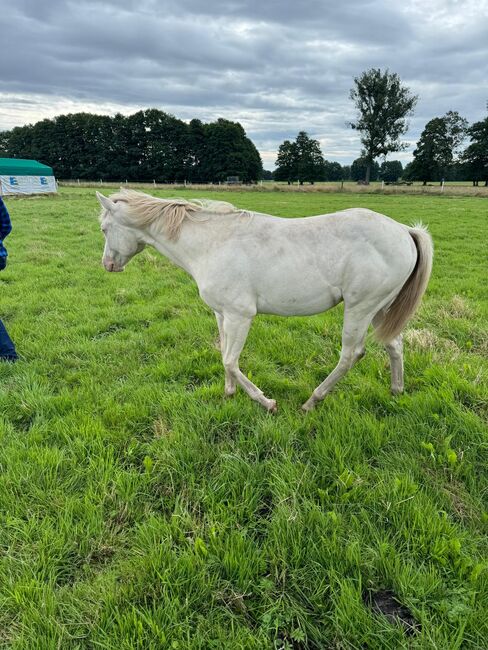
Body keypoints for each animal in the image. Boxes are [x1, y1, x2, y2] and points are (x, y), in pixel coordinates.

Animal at [97, 187, 432, 410]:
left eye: (103, 228)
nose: (108, 265)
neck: (212, 243)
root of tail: (404, 231)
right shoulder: (222, 314)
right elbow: (223, 355)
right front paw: (229, 393)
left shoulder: (240, 315)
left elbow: (231, 360)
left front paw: (265, 401)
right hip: (380, 309)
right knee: (394, 345)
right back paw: (396, 391)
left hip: (360, 309)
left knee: (351, 355)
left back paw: (312, 401)